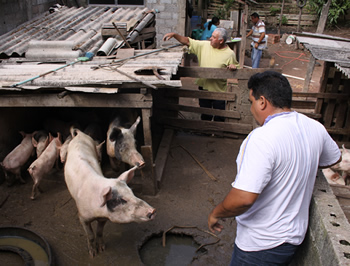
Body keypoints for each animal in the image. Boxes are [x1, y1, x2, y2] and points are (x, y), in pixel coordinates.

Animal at [64, 129, 154, 258]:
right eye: (121, 200)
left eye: (131, 192)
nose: (153, 210)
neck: (97, 211)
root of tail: (79, 135)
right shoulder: (82, 217)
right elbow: (90, 235)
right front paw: (93, 254)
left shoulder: (103, 218)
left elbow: (99, 232)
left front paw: (102, 249)